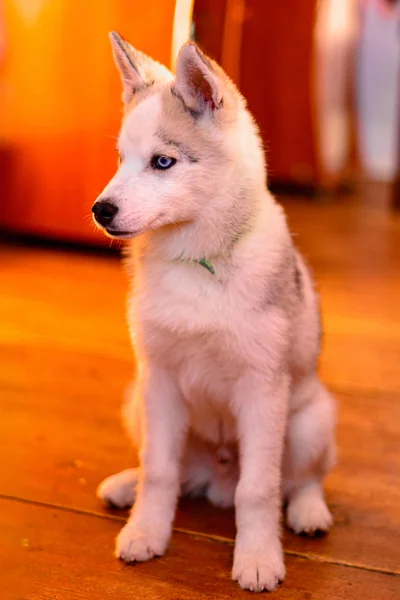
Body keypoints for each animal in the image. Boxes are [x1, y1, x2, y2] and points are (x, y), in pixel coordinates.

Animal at [92, 32, 336, 592]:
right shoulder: (159, 380)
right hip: (137, 401)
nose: (100, 211)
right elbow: (159, 471)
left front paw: (258, 558)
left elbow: (259, 490)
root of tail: (216, 478)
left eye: (162, 162)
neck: (196, 265)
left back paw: (309, 512)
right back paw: (126, 486)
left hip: (311, 421)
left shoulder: (262, 390)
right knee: (174, 472)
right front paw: (146, 532)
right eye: (119, 158)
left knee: (300, 480)